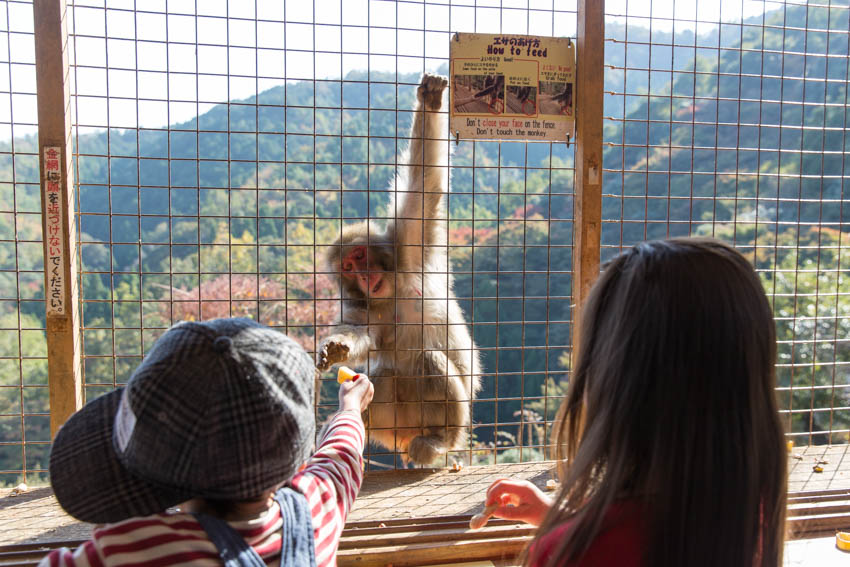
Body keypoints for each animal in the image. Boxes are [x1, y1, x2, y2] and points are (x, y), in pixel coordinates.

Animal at [314, 74, 480, 466]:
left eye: (360, 256)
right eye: (347, 267)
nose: (361, 276)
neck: (389, 294)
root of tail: (407, 438)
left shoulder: (409, 246)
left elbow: (424, 182)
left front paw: (431, 99)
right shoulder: (361, 307)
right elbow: (361, 334)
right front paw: (337, 347)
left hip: (444, 419)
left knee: (428, 361)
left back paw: (438, 440)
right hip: (391, 426)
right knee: (385, 378)